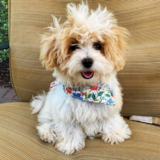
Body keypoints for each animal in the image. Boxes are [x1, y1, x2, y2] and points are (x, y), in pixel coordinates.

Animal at [31, 1, 131, 155]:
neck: (89, 91)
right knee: (46, 122)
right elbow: (70, 129)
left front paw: (116, 133)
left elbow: (110, 120)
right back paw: (47, 134)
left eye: (98, 45)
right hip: (48, 110)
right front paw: (69, 145)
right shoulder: (65, 113)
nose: (87, 61)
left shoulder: (109, 108)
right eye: (73, 46)